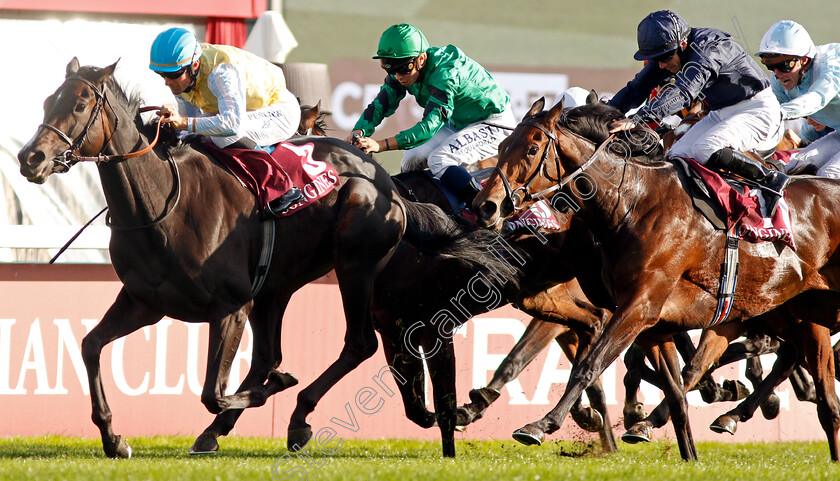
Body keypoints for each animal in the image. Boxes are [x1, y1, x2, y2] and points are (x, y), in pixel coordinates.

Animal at [14, 60, 446, 458]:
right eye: (49, 101)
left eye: (80, 104)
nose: (29, 158)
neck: (162, 205)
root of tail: (386, 181)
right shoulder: (144, 303)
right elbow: (90, 346)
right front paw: (113, 438)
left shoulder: (230, 307)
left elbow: (212, 392)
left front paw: (279, 384)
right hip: (276, 288)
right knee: (269, 355)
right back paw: (227, 429)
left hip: (354, 266)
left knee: (358, 344)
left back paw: (297, 416)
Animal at [472, 95, 840, 460]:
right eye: (502, 145)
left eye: (532, 148)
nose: (486, 206)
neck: (632, 203)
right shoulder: (655, 323)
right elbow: (675, 389)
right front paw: (672, 440)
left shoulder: (639, 307)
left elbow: (590, 364)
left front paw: (542, 424)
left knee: (810, 384)